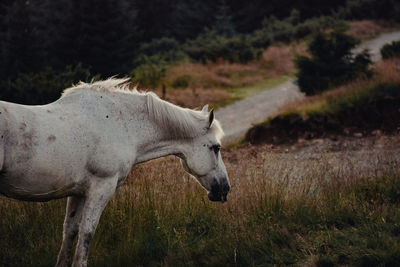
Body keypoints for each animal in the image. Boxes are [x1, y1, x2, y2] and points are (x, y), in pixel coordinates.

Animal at [0, 78, 231, 267]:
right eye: (216, 148)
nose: (225, 189)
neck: (120, 123)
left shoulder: (78, 193)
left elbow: (70, 232)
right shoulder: (101, 188)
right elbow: (86, 233)